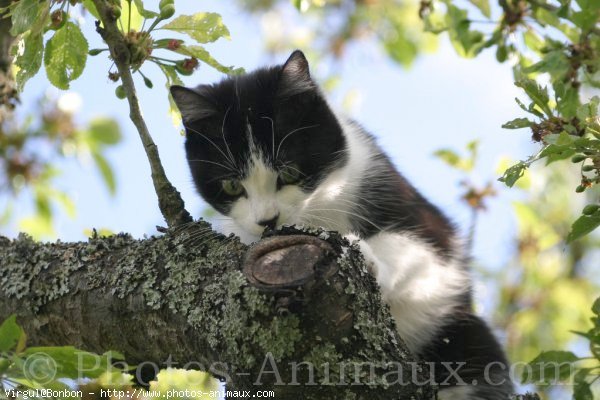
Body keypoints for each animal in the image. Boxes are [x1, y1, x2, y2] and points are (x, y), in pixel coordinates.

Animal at [171, 50, 512, 400]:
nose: (267, 220)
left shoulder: (427, 226)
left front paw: (365, 255)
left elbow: (417, 250)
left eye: (289, 172)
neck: (316, 208)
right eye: (231, 186)